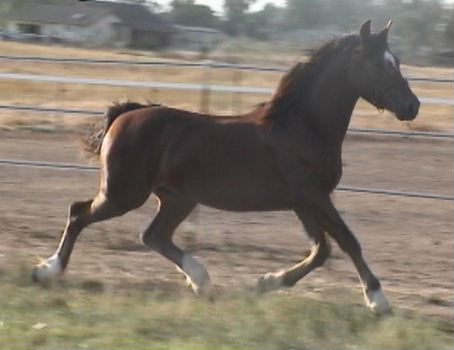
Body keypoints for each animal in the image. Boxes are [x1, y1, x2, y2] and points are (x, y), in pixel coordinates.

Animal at [33, 19, 420, 314]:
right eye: (381, 64)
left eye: (397, 60)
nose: (412, 106)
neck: (302, 125)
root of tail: (125, 115)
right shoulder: (313, 197)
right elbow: (347, 242)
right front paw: (378, 301)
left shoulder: (305, 202)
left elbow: (321, 250)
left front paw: (266, 282)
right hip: (122, 193)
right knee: (79, 213)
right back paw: (47, 272)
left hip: (176, 198)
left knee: (153, 235)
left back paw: (201, 281)